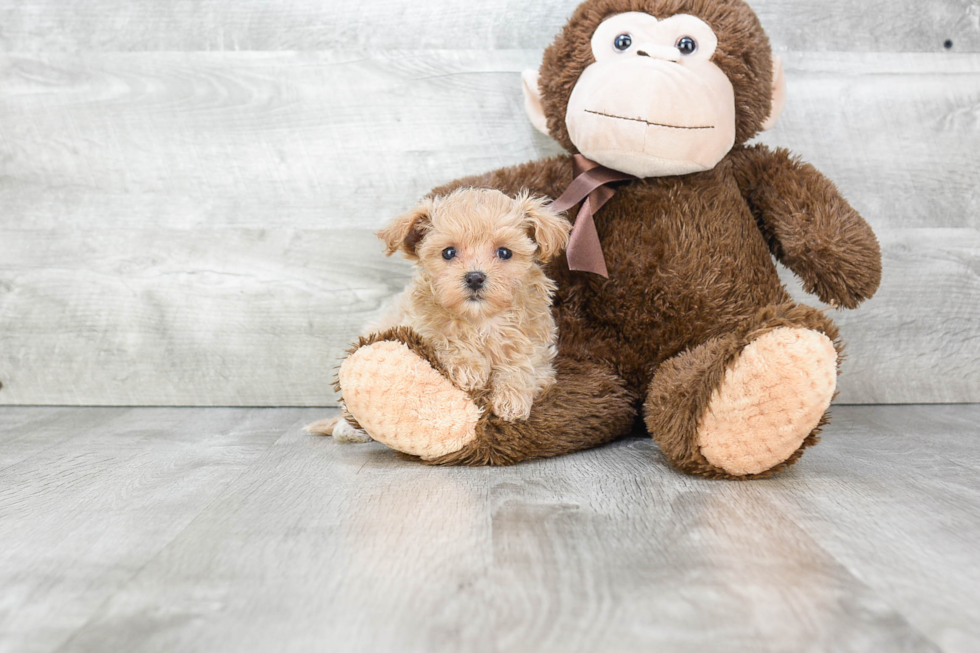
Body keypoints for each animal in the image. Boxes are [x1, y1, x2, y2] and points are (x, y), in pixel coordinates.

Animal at [312, 187, 576, 444]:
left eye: (504, 252)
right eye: (448, 252)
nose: (475, 277)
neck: (481, 321)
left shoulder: (540, 354)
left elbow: (522, 365)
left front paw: (512, 399)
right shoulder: (417, 325)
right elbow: (442, 338)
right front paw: (469, 367)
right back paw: (348, 430)